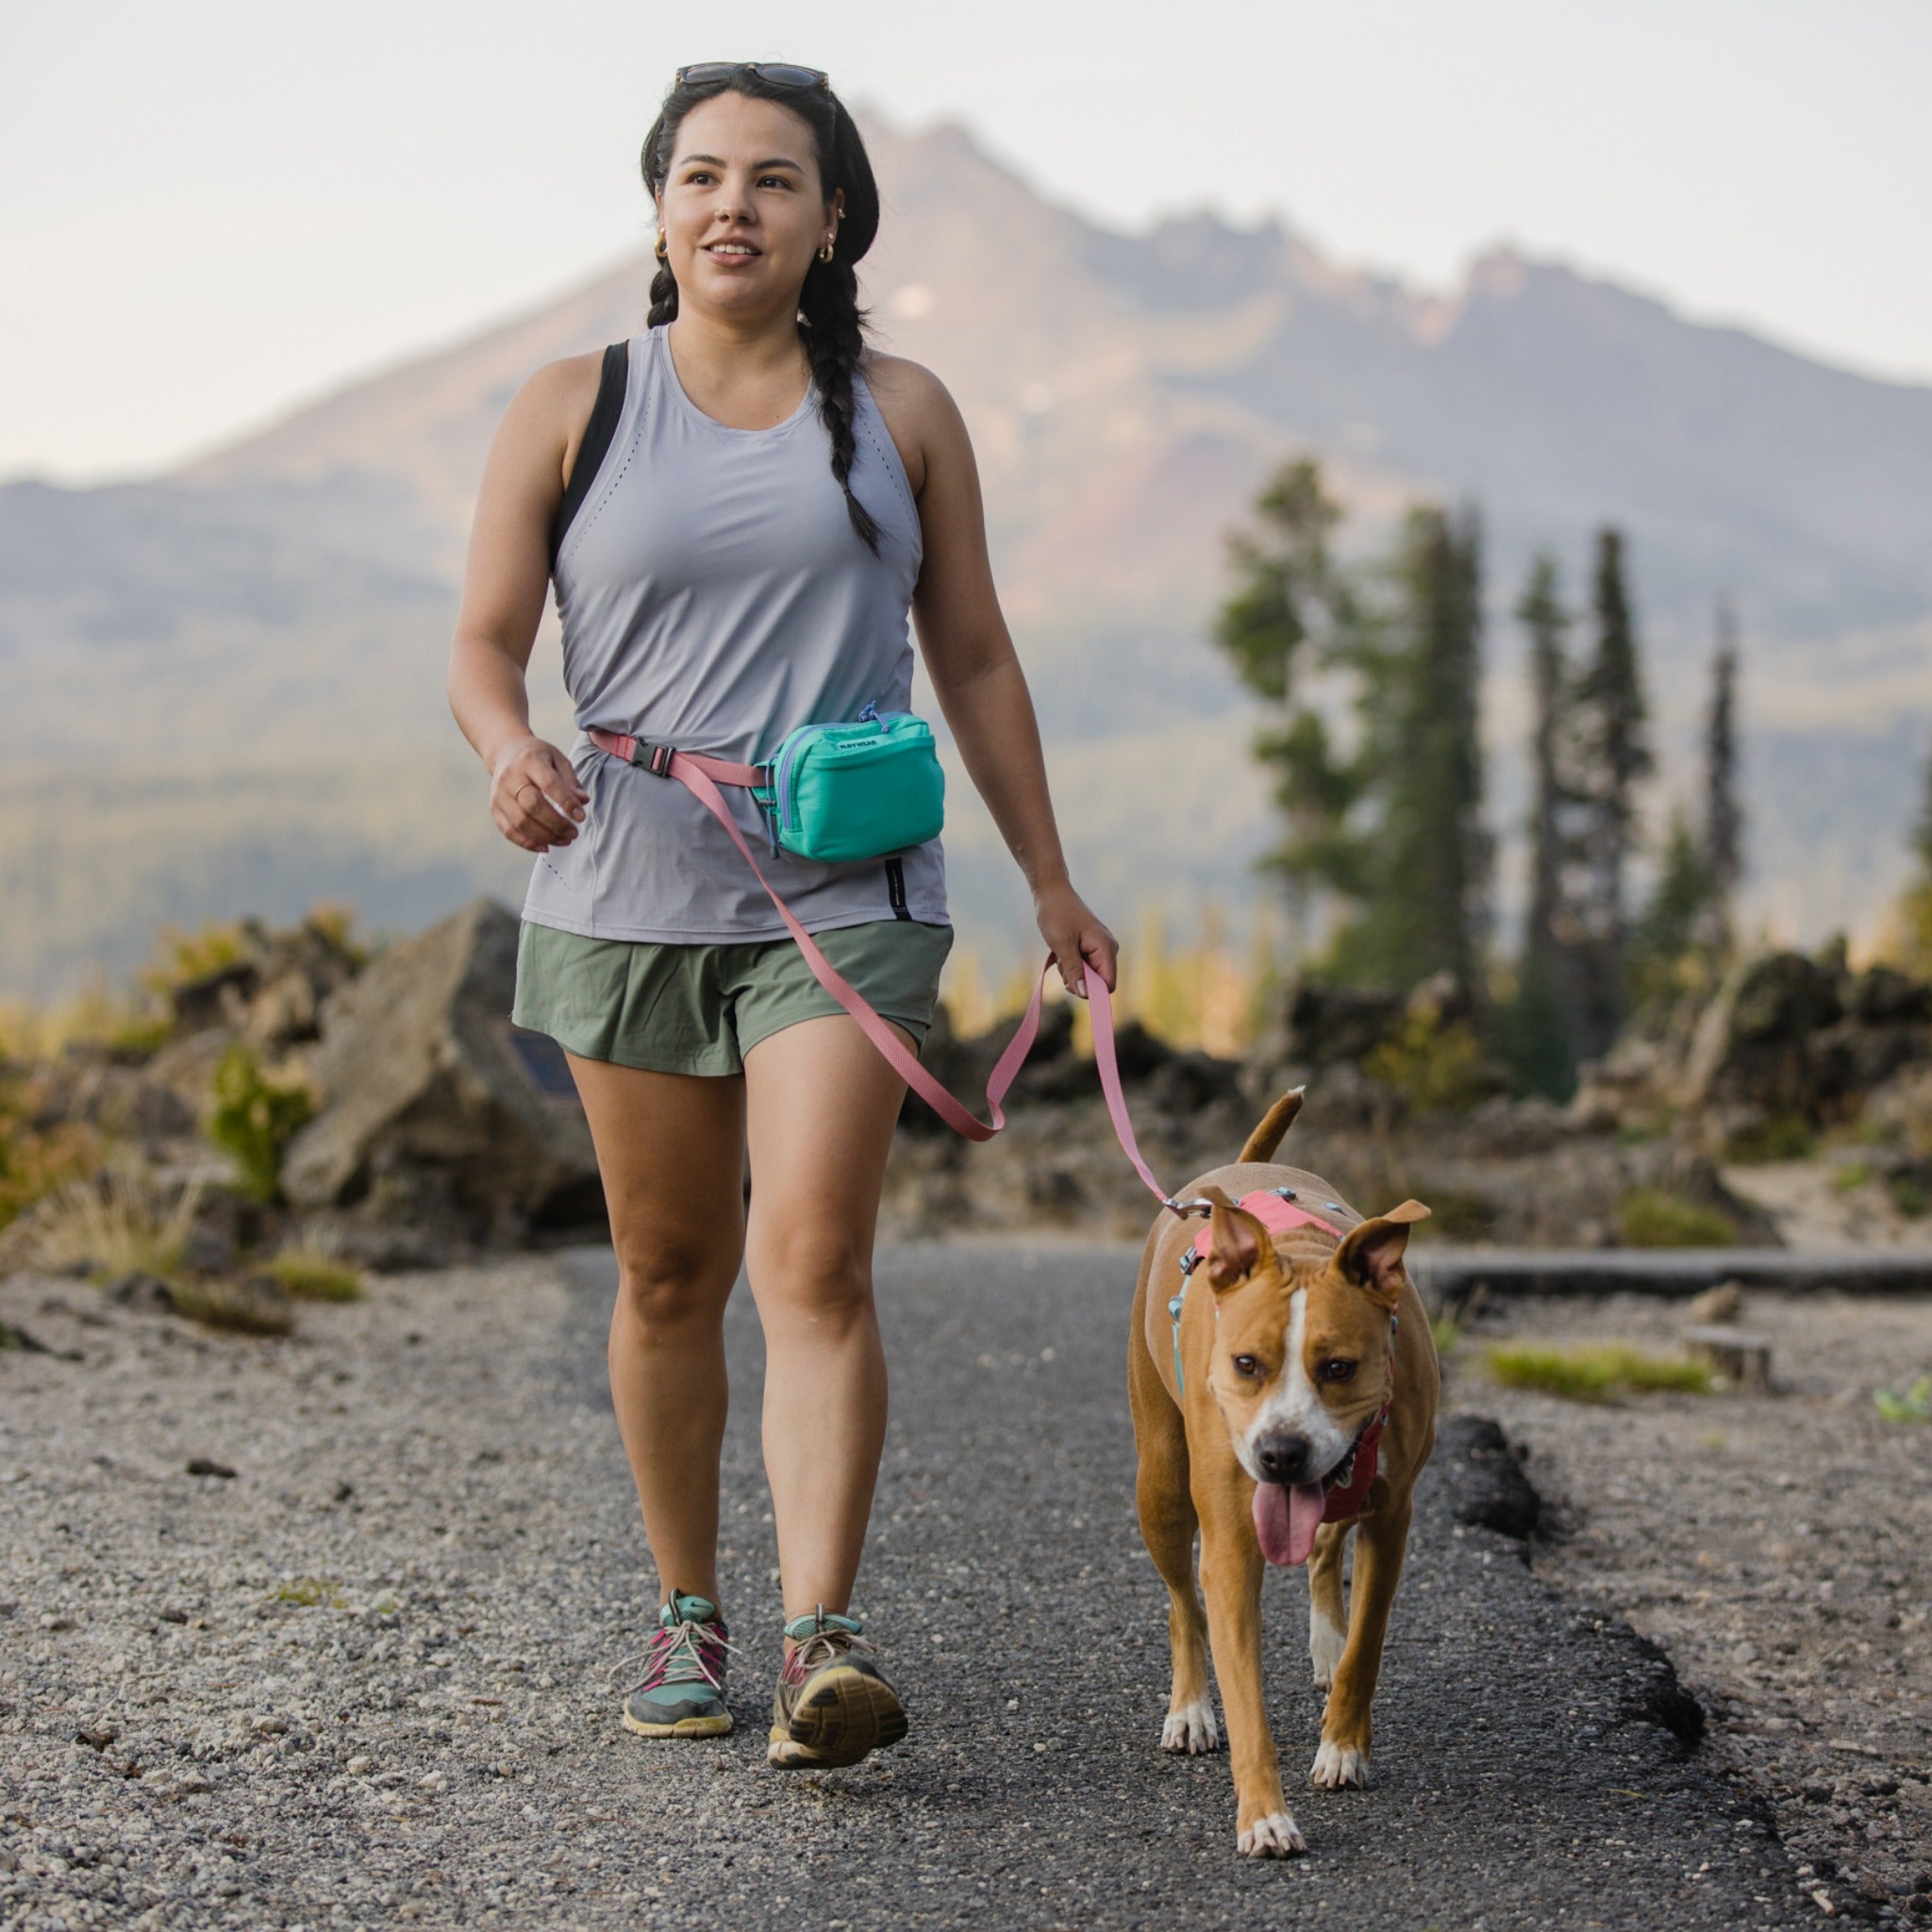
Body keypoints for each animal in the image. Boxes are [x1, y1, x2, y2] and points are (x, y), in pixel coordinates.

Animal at [1128, 1090, 1437, 1855]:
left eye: (1339, 1367)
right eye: (1246, 1364)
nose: (1281, 1453)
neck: (1300, 1253)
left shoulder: (1392, 1516)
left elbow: (1367, 1644)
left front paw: (1344, 1747)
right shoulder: (1233, 1544)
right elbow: (1243, 1686)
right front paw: (1264, 1814)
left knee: (1325, 1549)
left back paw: (1325, 1644)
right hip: (1161, 1487)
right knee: (1184, 1602)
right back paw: (1189, 1709)